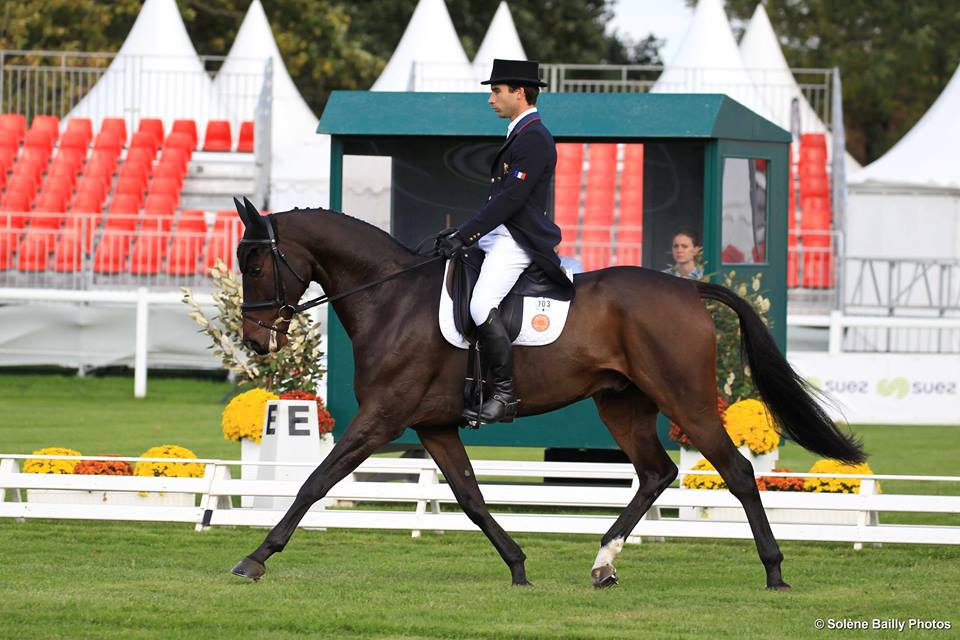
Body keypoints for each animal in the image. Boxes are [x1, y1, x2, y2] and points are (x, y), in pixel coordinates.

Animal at [231, 199, 864, 592]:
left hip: (685, 399)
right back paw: (604, 564)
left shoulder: (382, 418)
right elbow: (470, 498)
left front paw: (255, 559)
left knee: (735, 470)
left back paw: (774, 572)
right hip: (622, 404)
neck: (392, 299)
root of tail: (687, 289)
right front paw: (518, 568)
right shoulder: (433, 425)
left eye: (257, 263)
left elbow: (315, 481)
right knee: (656, 472)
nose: (256, 341)